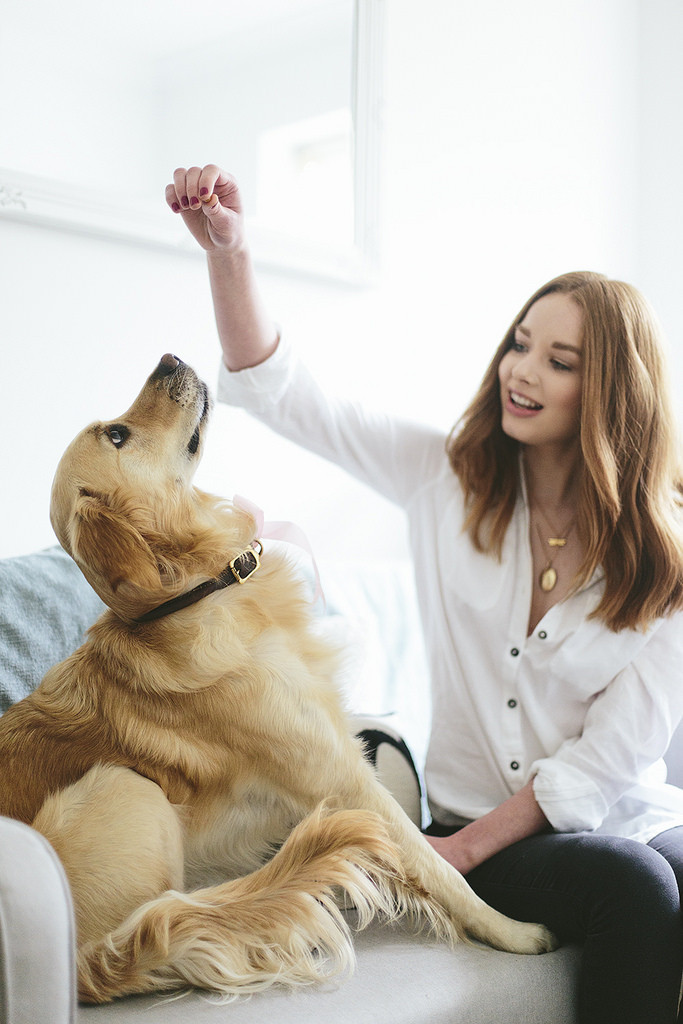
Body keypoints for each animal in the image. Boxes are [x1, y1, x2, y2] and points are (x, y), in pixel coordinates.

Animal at [0, 352, 557, 999]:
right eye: (118, 435)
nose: (170, 358)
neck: (197, 592)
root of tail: (83, 965)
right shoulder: (344, 777)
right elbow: (435, 865)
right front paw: (511, 931)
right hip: (127, 784)